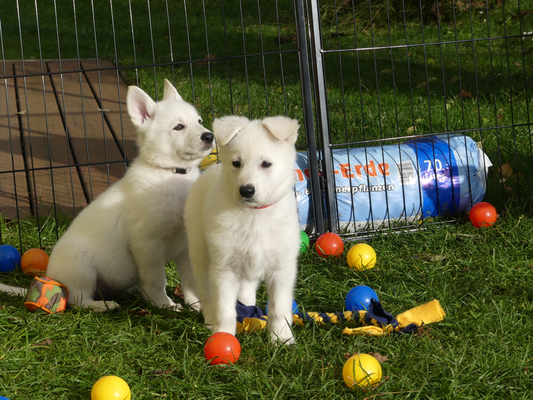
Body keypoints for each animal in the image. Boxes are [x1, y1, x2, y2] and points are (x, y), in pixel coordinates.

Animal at [0, 78, 212, 310]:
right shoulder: (146, 244)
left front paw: (198, 305)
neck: (171, 172)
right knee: (77, 299)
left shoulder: (187, 245)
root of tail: (53, 275)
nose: (209, 136)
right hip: (81, 265)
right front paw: (163, 304)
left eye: (199, 120)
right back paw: (105, 305)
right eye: (179, 127)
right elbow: (157, 280)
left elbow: (191, 279)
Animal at [184, 115, 302, 344]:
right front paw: (222, 336)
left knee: (247, 289)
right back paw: (210, 322)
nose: (246, 190)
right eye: (236, 163)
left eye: (266, 164)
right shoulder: (223, 269)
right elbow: (224, 309)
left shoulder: (282, 269)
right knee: (206, 293)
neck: (254, 215)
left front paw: (281, 339)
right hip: (200, 254)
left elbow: (279, 307)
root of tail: (209, 171)